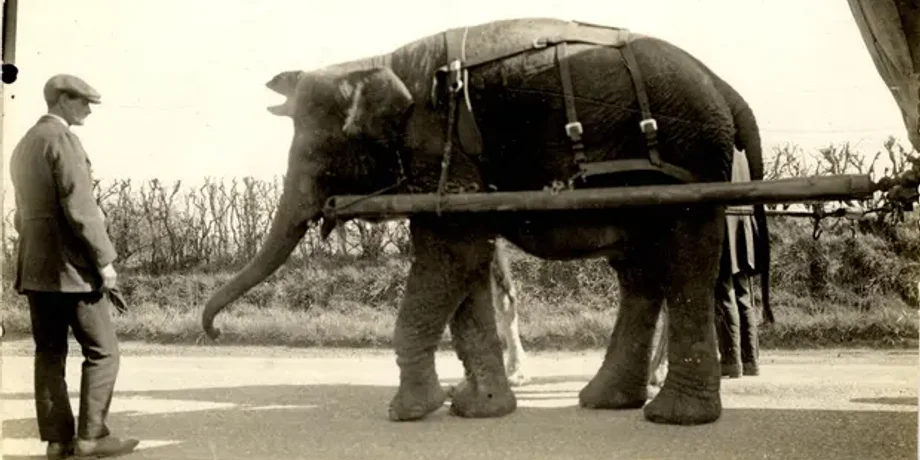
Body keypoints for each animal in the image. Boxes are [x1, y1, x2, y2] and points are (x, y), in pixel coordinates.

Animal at [201, 17, 770, 426]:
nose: (213, 332)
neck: (378, 62)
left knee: (685, 261)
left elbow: (451, 255)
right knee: (641, 272)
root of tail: (725, 87)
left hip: (689, 156)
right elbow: (465, 262)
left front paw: (408, 412)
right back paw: (609, 401)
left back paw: (675, 417)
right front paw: (476, 408)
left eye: (318, 153)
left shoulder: (439, 146)